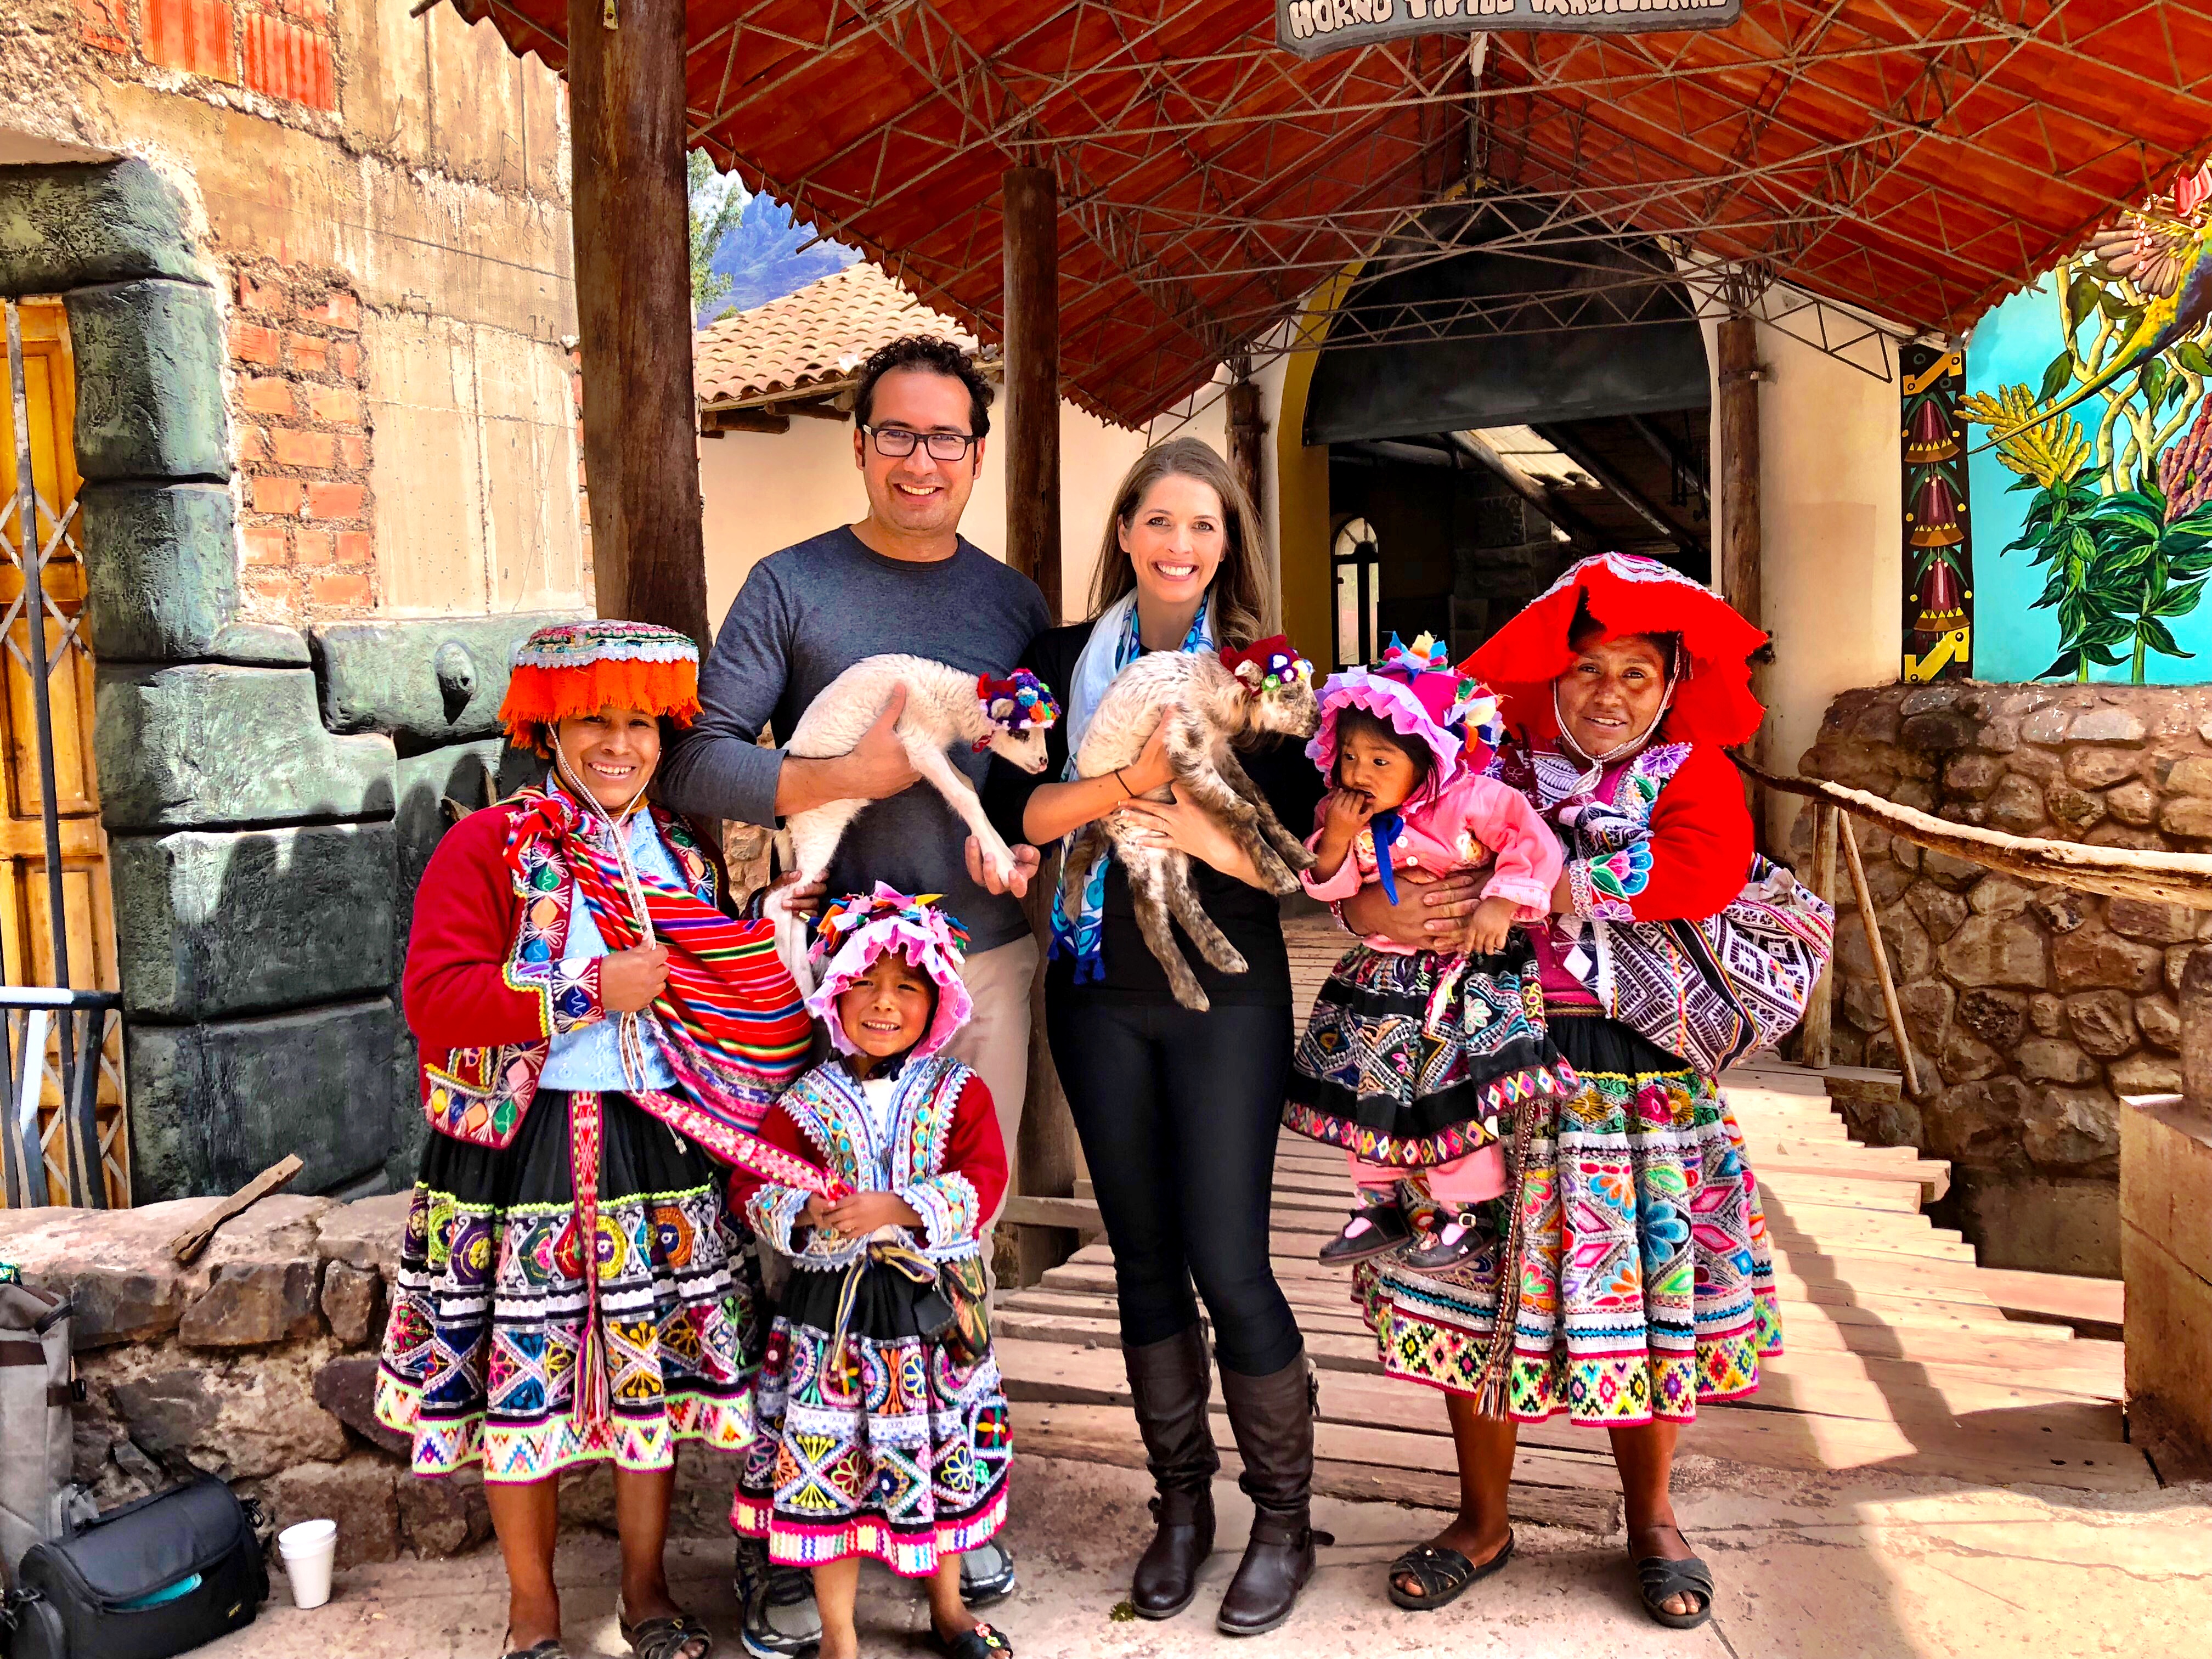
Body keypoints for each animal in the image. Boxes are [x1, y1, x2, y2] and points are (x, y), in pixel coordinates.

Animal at [774, 654, 1057, 995]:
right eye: (1021, 734)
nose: (1043, 763)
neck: (946, 703)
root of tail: (787, 822)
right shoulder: (919, 745)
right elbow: (964, 797)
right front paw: (1002, 865)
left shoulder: (934, 749)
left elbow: (969, 789)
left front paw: (1004, 854)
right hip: (818, 829)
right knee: (782, 902)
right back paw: (800, 983)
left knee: (794, 902)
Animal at [1062, 641, 1318, 1013]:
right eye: (1288, 693)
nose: (1317, 722)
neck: (1213, 692)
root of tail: (1101, 825)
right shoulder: (1187, 746)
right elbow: (1241, 811)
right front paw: (1278, 874)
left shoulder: (1218, 750)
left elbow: (1256, 797)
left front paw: (1296, 853)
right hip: (1137, 839)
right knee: (1150, 914)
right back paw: (1190, 990)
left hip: (1167, 845)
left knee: (1180, 896)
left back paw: (1223, 954)